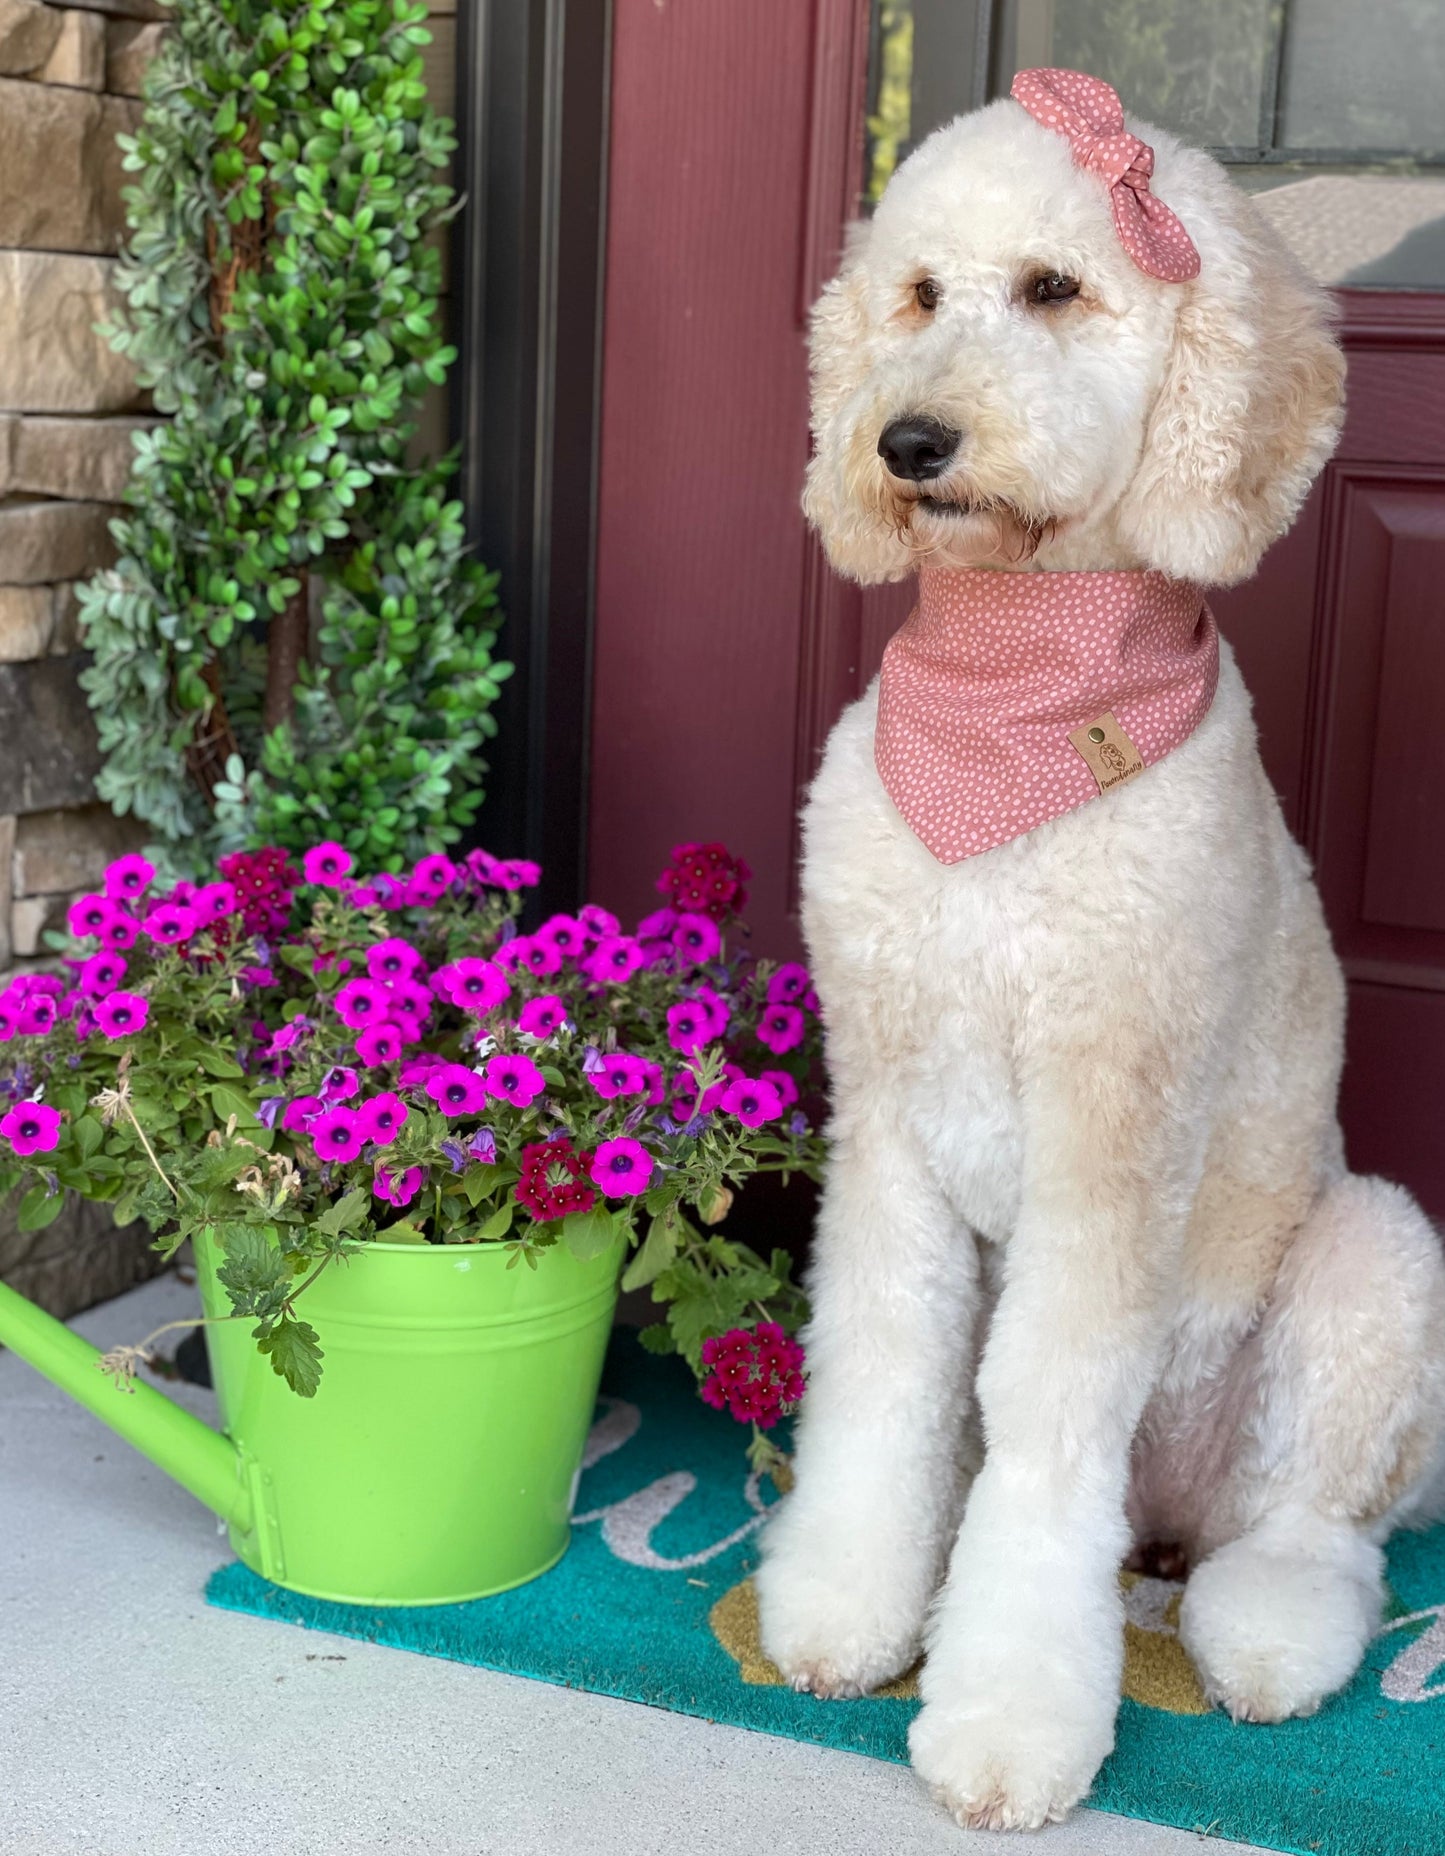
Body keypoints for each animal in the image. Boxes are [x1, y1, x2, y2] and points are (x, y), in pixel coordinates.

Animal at [753, 79, 1445, 1833]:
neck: (1014, 701)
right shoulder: (887, 1112)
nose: (905, 442)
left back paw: (1265, 1638)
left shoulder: (1105, 1137)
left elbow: (1043, 1427)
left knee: (1319, 1530)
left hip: (1374, 1265)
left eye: (1057, 289)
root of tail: (1176, 1525)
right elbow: (883, 1373)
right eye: (919, 295)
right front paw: (849, 1606)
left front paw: (1005, 1720)